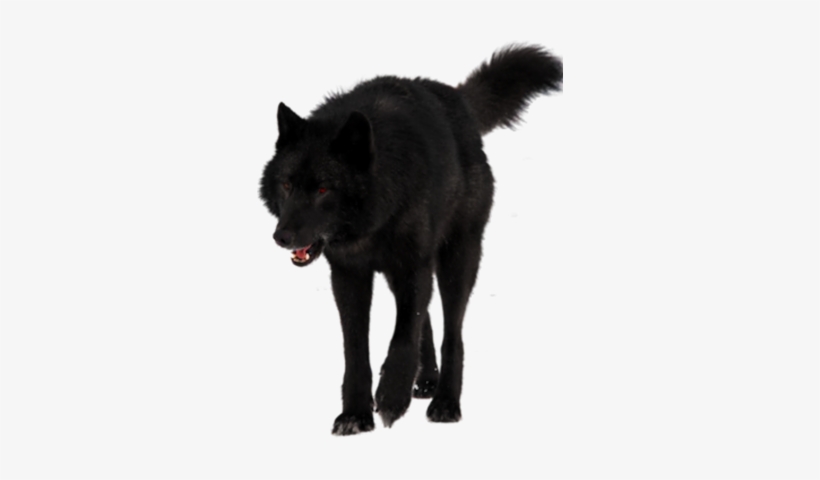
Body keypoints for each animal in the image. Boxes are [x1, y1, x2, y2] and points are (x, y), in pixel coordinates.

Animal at [259, 45, 562, 435]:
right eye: (287, 184)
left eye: (324, 189)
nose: (282, 236)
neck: (373, 221)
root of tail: (458, 100)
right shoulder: (349, 275)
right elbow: (356, 349)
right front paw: (355, 414)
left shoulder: (411, 267)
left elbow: (403, 336)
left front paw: (390, 399)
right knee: (428, 321)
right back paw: (426, 381)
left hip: (456, 259)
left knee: (451, 333)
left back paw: (445, 401)